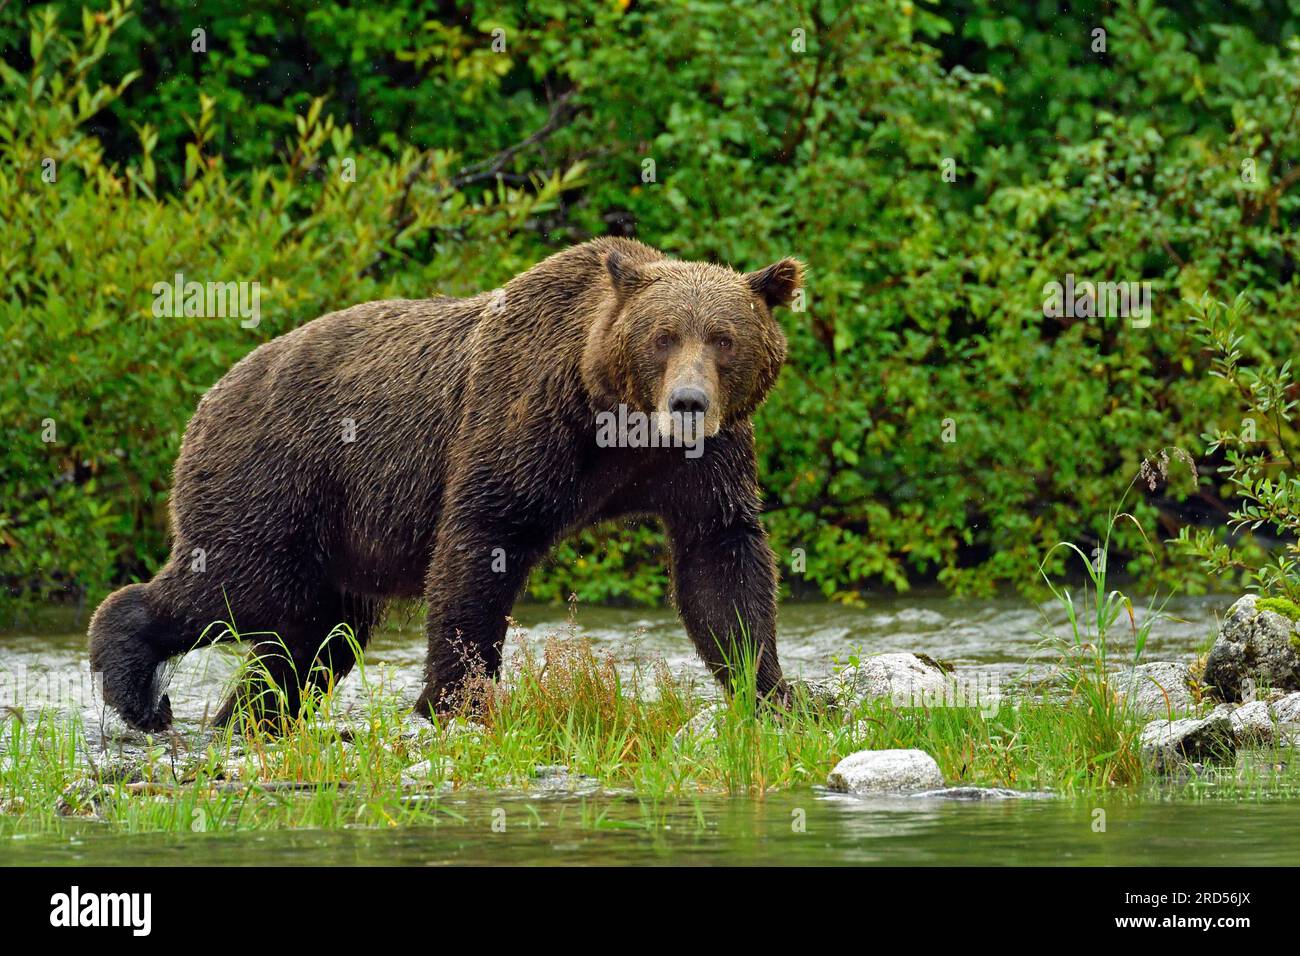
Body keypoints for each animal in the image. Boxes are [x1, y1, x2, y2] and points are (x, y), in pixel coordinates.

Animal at [88, 237, 803, 731]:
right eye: (663, 336)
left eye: (724, 338)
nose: (688, 402)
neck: (619, 423)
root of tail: (209, 395)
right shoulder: (524, 417)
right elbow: (482, 540)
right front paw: (452, 700)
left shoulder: (700, 464)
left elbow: (721, 561)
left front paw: (774, 691)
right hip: (274, 477)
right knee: (234, 585)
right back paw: (135, 683)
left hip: (333, 534)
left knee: (316, 635)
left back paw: (246, 712)